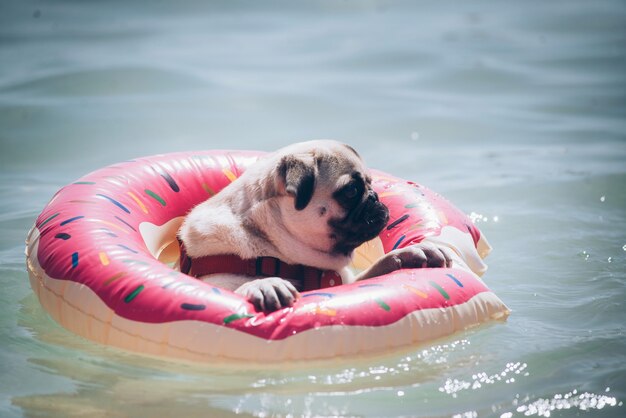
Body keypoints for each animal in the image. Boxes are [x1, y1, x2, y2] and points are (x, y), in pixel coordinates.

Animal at [178, 140, 450, 310]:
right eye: (351, 191)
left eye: (370, 183)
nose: (374, 197)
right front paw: (263, 284)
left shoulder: (349, 283)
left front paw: (410, 254)